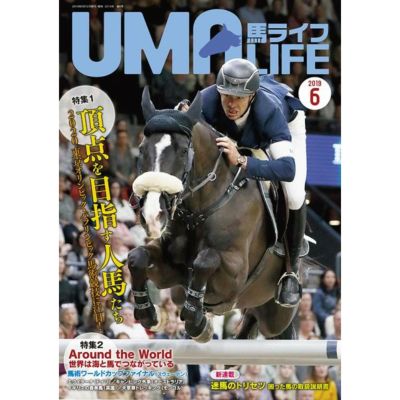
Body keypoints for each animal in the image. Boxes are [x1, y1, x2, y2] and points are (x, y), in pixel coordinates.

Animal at [127, 87, 299, 342]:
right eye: (141, 149)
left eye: (183, 151)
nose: (153, 216)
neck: (201, 208)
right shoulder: (170, 271)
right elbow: (136, 256)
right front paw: (148, 314)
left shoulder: (234, 276)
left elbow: (205, 261)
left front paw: (196, 320)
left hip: (275, 316)